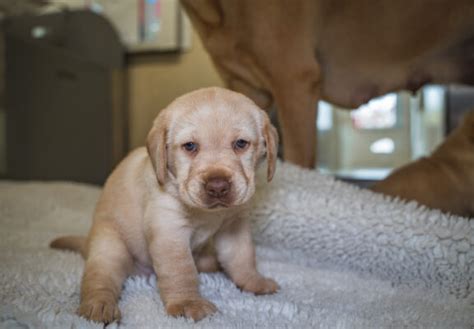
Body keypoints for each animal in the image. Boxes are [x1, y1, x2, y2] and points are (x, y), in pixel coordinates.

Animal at [51, 86, 282, 322]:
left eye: (241, 144)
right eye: (190, 146)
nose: (217, 187)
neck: (207, 213)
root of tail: (88, 242)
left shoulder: (233, 226)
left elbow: (242, 257)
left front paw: (253, 281)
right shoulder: (169, 230)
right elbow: (181, 271)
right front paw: (188, 303)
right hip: (110, 248)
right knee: (99, 279)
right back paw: (98, 305)